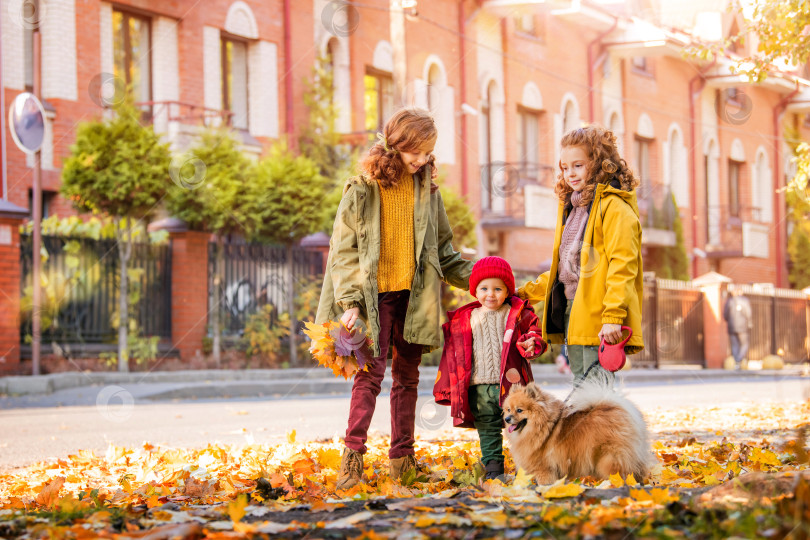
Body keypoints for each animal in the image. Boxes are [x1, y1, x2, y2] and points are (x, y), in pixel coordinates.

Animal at [502, 382, 652, 484]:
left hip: (609, 458)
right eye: (508, 409)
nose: (507, 419)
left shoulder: (544, 469)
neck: (544, 424)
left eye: (519, 410)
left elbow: (544, 483)